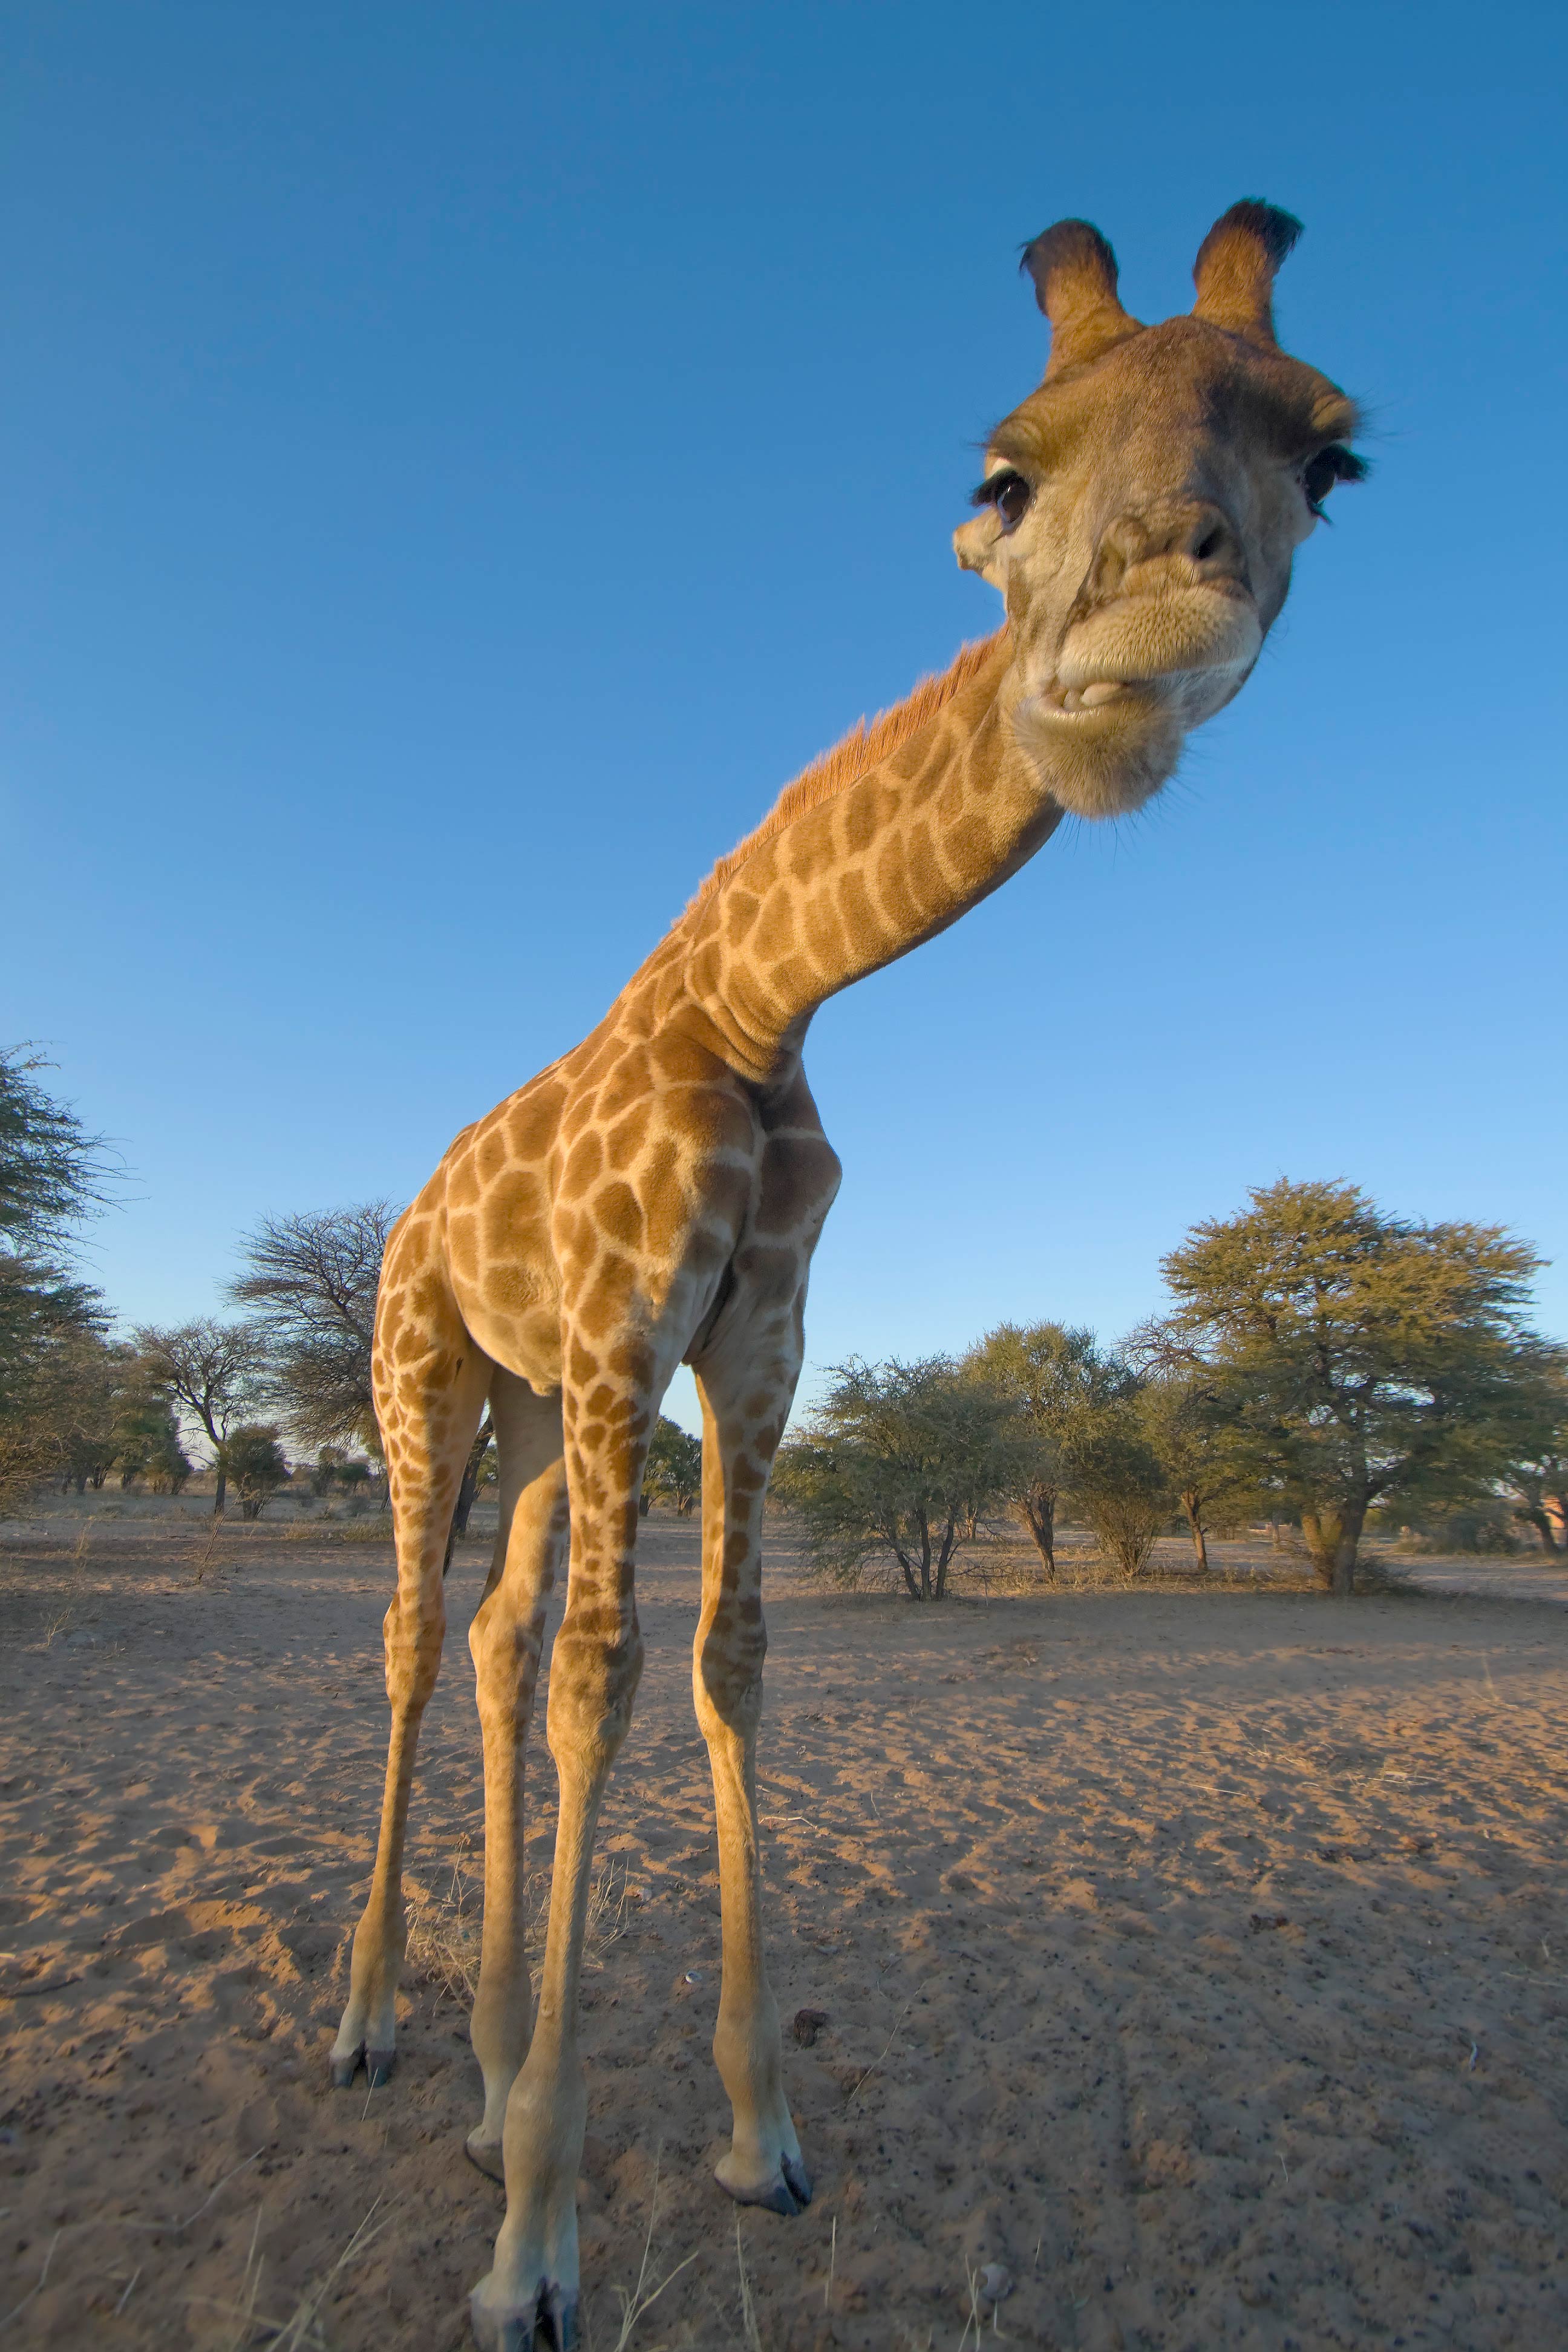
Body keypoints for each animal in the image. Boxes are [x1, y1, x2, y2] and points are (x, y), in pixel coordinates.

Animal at [329, 201, 1364, 2349]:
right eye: (1005, 472)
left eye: (1328, 459)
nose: (1153, 635)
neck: (753, 998)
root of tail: (404, 1216)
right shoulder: (634, 1337)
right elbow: (608, 1679)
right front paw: (534, 2251)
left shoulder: (755, 1354)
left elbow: (723, 1663)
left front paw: (755, 2139)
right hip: (430, 1379)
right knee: (415, 1639)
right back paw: (376, 2028)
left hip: (536, 1415)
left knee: (489, 1633)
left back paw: (480, 2064)